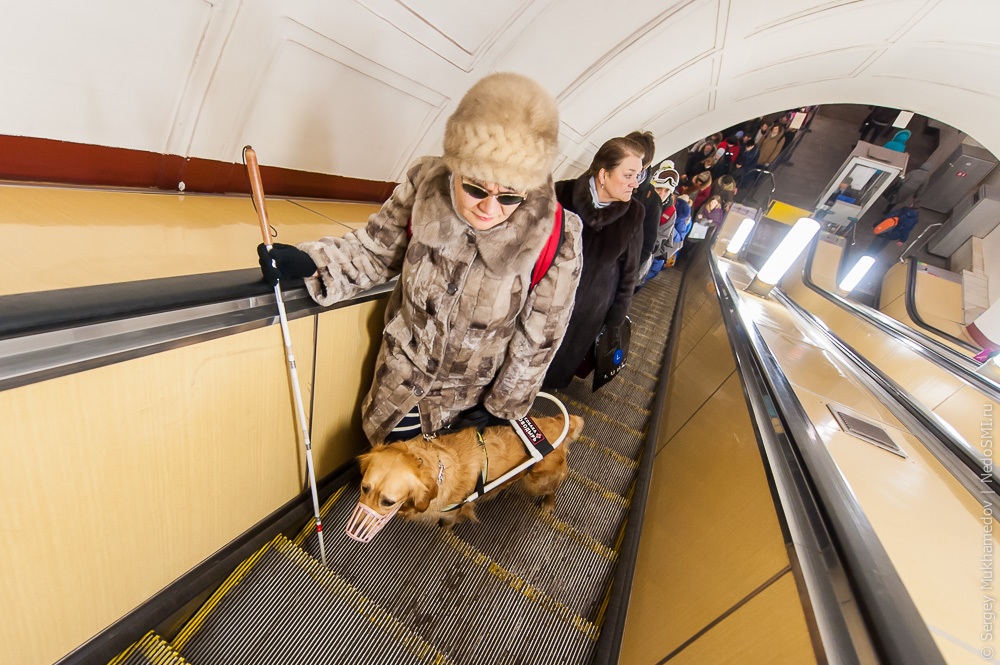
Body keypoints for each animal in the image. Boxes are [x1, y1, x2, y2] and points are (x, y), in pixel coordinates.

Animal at [354, 414, 584, 531]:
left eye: (388, 502)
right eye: (364, 488)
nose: (355, 528)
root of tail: (556, 421)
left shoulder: (452, 511)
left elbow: (447, 523)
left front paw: (444, 530)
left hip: (537, 481)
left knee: (554, 486)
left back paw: (549, 503)